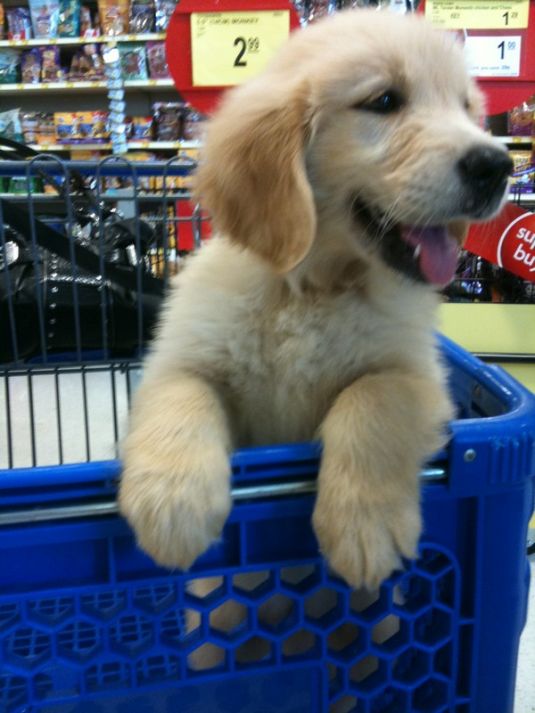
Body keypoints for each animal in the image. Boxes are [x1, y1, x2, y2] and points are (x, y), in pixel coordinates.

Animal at [119, 9, 512, 588]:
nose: (497, 166)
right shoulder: (176, 359)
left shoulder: (420, 377)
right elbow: (182, 393)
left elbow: (373, 396)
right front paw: (171, 504)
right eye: (385, 101)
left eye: (466, 108)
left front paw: (364, 526)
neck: (315, 286)